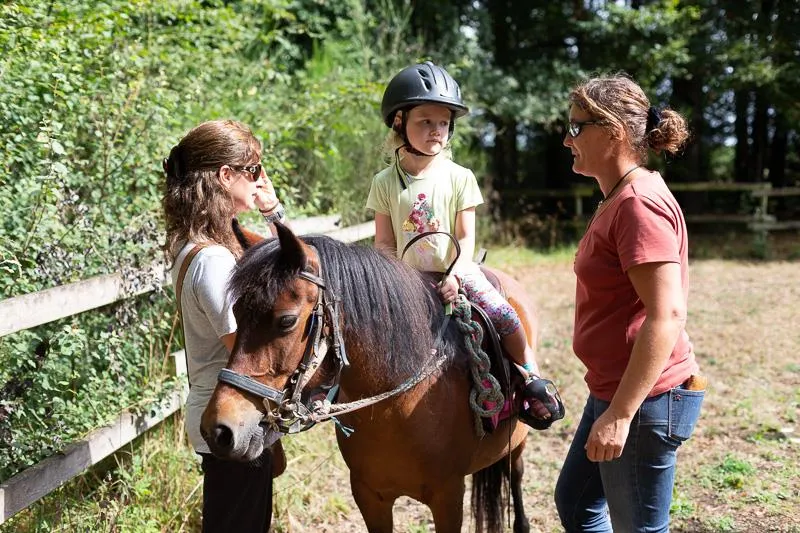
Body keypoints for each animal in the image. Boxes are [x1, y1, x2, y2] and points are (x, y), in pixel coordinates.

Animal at [200, 223, 536, 532]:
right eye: (235, 314)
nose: (218, 430)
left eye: (286, 321)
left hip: (517, 442)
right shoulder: (369, 496)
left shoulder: (448, 497)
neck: (398, 407)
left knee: (516, 473)